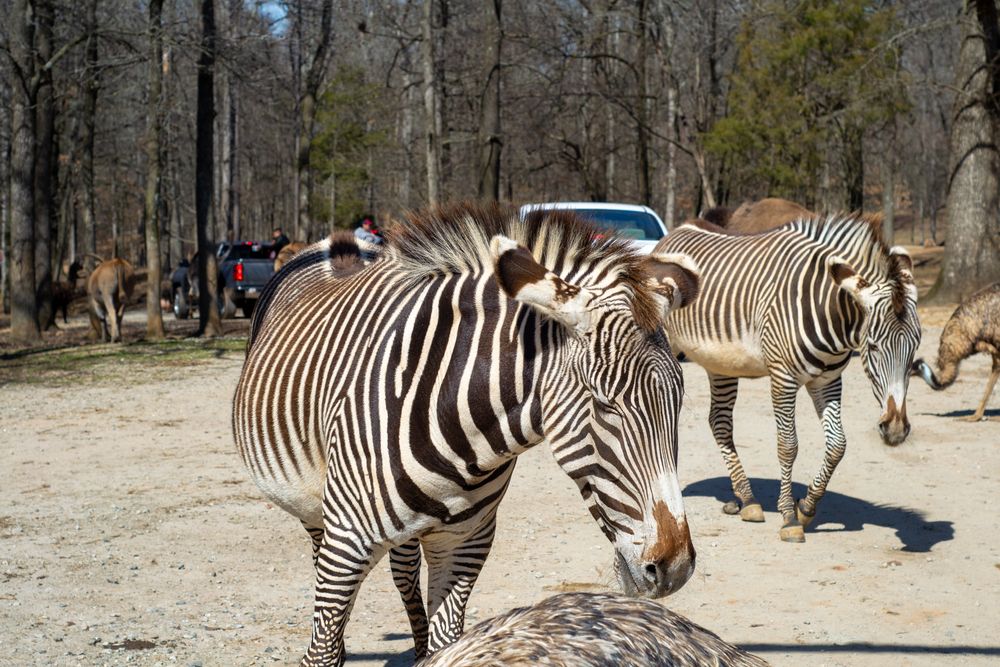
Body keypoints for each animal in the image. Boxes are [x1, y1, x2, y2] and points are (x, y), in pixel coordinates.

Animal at [232, 202, 702, 666]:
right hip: (315, 513)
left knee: (404, 571)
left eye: (678, 402)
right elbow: (322, 650)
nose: (674, 566)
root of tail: (336, 245)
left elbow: (448, 641)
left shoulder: (465, 544)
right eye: (604, 404)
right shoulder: (346, 545)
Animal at [655, 214, 921, 543]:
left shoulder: (828, 380)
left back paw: (746, 499)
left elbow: (838, 445)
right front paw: (789, 517)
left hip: (722, 364)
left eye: (916, 346)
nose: (895, 430)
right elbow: (788, 445)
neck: (831, 315)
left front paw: (806, 506)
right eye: (872, 346)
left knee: (719, 422)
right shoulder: (783, 378)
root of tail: (675, 231)